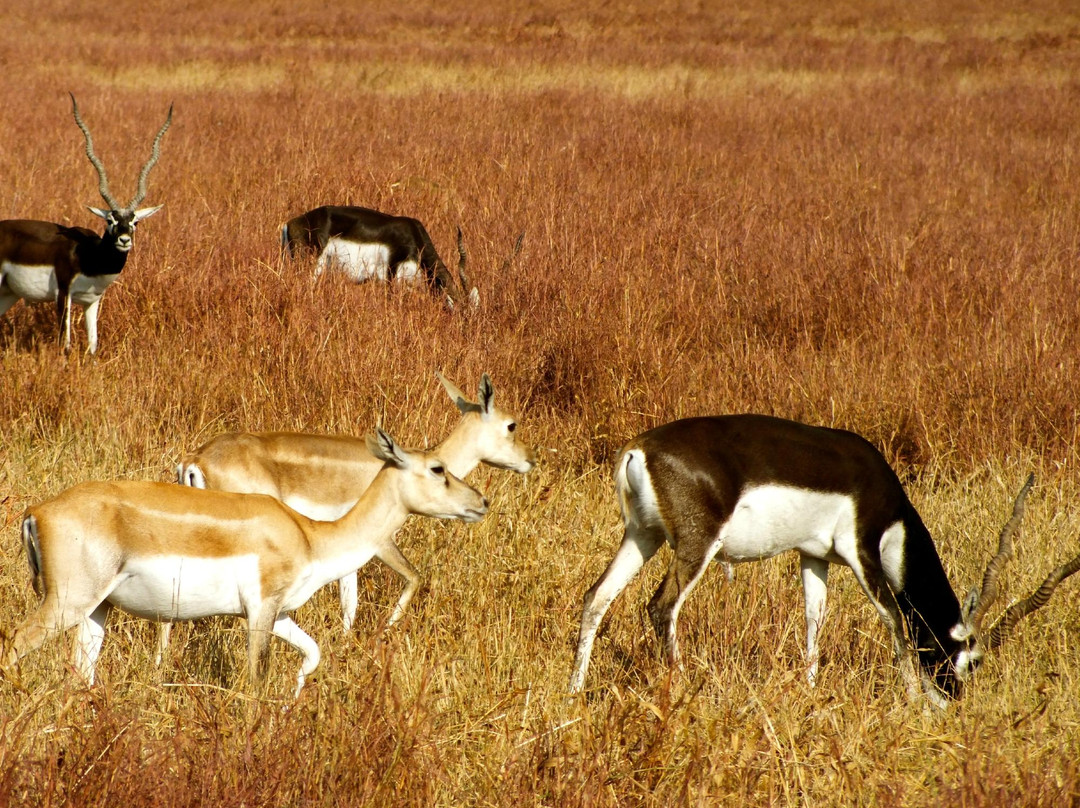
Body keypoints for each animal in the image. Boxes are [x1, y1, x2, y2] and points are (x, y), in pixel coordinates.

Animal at [0, 92, 171, 352]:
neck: (90, 256)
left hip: (7, 293)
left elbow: (93, 346)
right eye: (110, 220)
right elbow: (65, 345)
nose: (124, 240)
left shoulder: (92, 302)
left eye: (134, 222)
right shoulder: (64, 294)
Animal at [7, 425, 490, 695]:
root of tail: (37, 512)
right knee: (13, 644)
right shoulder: (259, 611)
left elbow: (313, 654)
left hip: (97, 611)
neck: (310, 535)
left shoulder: (281, 614)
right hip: (65, 604)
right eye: (437, 469)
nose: (481, 502)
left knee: (79, 674)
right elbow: (257, 679)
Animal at [168, 371, 535, 648]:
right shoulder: (379, 541)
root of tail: (195, 458)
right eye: (511, 425)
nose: (530, 460)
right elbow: (412, 577)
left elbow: (349, 598)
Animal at [570, 412, 1075, 704]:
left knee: (596, 598)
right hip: (697, 545)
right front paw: (914, 702)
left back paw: (574, 696)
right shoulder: (863, 552)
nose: (954, 702)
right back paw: (678, 694)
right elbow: (894, 619)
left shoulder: (814, 558)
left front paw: (811, 693)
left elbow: (814, 620)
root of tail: (639, 448)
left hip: (643, 536)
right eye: (973, 660)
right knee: (661, 607)